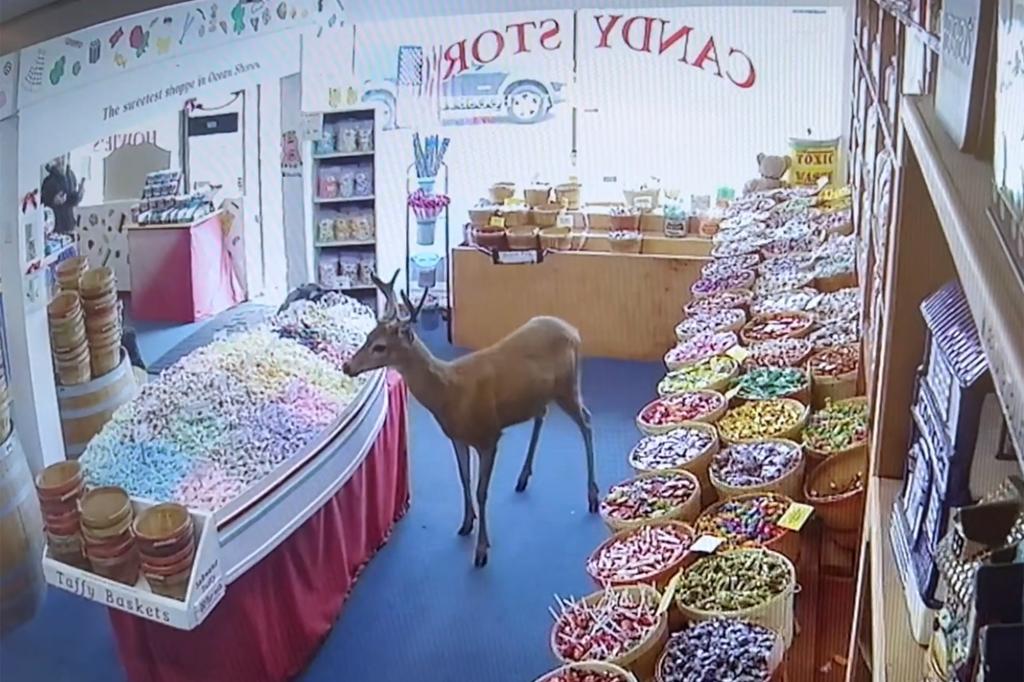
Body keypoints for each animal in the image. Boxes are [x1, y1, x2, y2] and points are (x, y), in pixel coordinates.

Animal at [344, 270, 598, 561]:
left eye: (381, 347)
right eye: (367, 336)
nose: (347, 366)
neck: (451, 393)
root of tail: (575, 331)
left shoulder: (489, 436)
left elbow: (481, 490)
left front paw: (482, 549)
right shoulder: (457, 437)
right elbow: (464, 478)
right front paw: (466, 523)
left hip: (568, 386)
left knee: (587, 421)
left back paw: (592, 497)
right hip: (541, 394)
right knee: (542, 415)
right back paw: (523, 478)